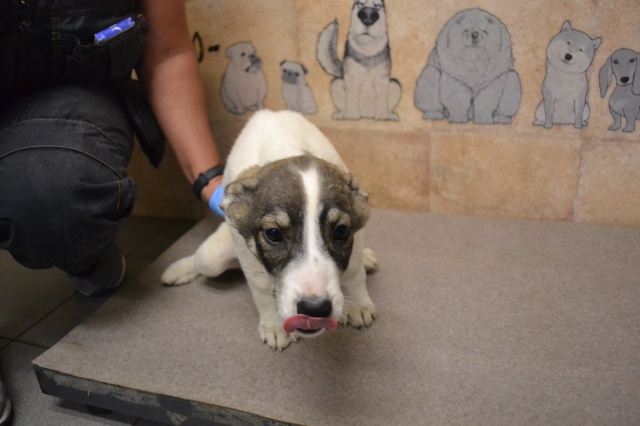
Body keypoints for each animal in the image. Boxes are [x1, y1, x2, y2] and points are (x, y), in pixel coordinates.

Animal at [162, 110, 378, 351]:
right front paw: (273, 324)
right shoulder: (244, 247)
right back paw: (180, 269)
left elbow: (354, 271)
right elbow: (261, 288)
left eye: (341, 231)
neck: (286, 147)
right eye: (273, 234)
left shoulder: (355, 236)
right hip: (212, 257)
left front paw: (358, 303)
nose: (314, 310)